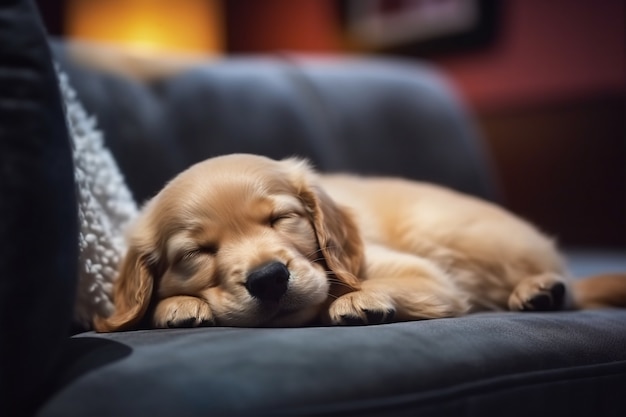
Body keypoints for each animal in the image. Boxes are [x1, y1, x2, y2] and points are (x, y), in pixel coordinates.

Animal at [92, 151, 624, 330]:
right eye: (196, 252)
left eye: (281, 219)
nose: (269, 279)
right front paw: (177, 304)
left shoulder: (431, 279)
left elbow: (360, 286)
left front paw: (355, 299)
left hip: (445, 231)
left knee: (568, 288)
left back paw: (539, 290)